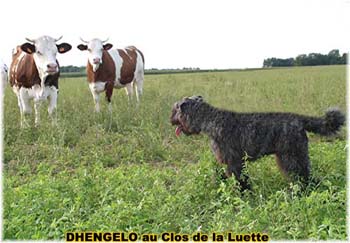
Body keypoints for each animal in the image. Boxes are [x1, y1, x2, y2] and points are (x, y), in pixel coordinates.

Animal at [171, 95, 346, 190]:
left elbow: (240, 180)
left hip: (292, 157)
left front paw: (244, 194)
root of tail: (300, 119)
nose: (170, 119)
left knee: (304, 176)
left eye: (176, 109)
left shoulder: (234, 162)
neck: (210, 120)